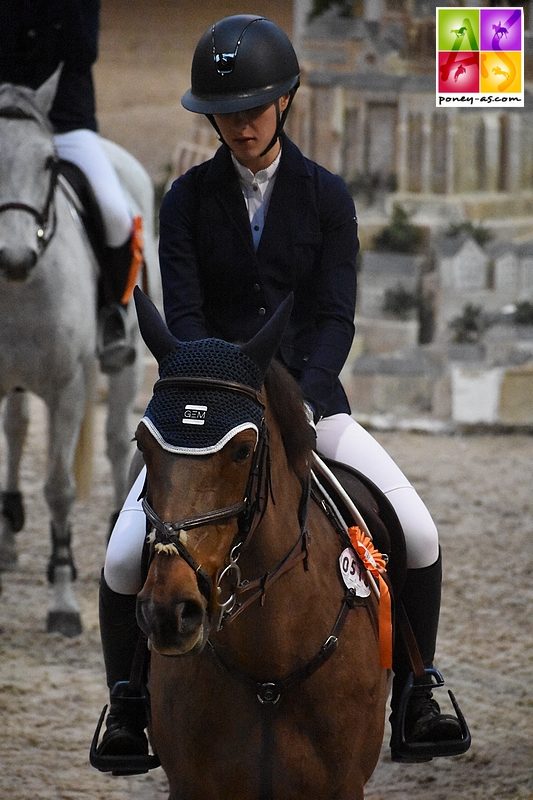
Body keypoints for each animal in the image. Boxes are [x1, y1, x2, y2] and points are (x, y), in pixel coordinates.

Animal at [0, 75, 156, 636]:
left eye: (48, 163)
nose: (14, 257)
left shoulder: (68, 387)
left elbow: (60, 489)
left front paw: (63, 600)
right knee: (17, 430)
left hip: (123, 365)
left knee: (114, 441)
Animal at [131, 290, 388, 800]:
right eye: (142, 444)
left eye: (242, 450)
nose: (168, 612)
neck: (268, 665)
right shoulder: (189, 785)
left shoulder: (344, 785)